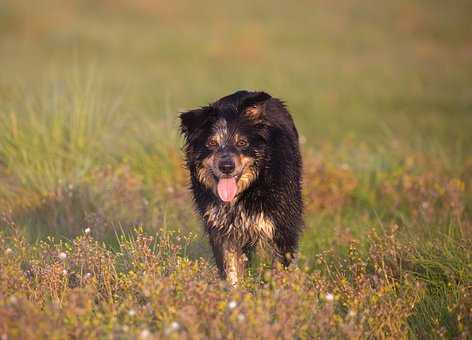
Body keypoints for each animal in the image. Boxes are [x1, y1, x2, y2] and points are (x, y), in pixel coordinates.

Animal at [179, 90, 304, 284]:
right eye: (212, 143)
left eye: (242, 143)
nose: (226, 166)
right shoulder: (222, 230)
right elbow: (231, 272)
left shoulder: (280, 229)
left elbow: (277, 270)